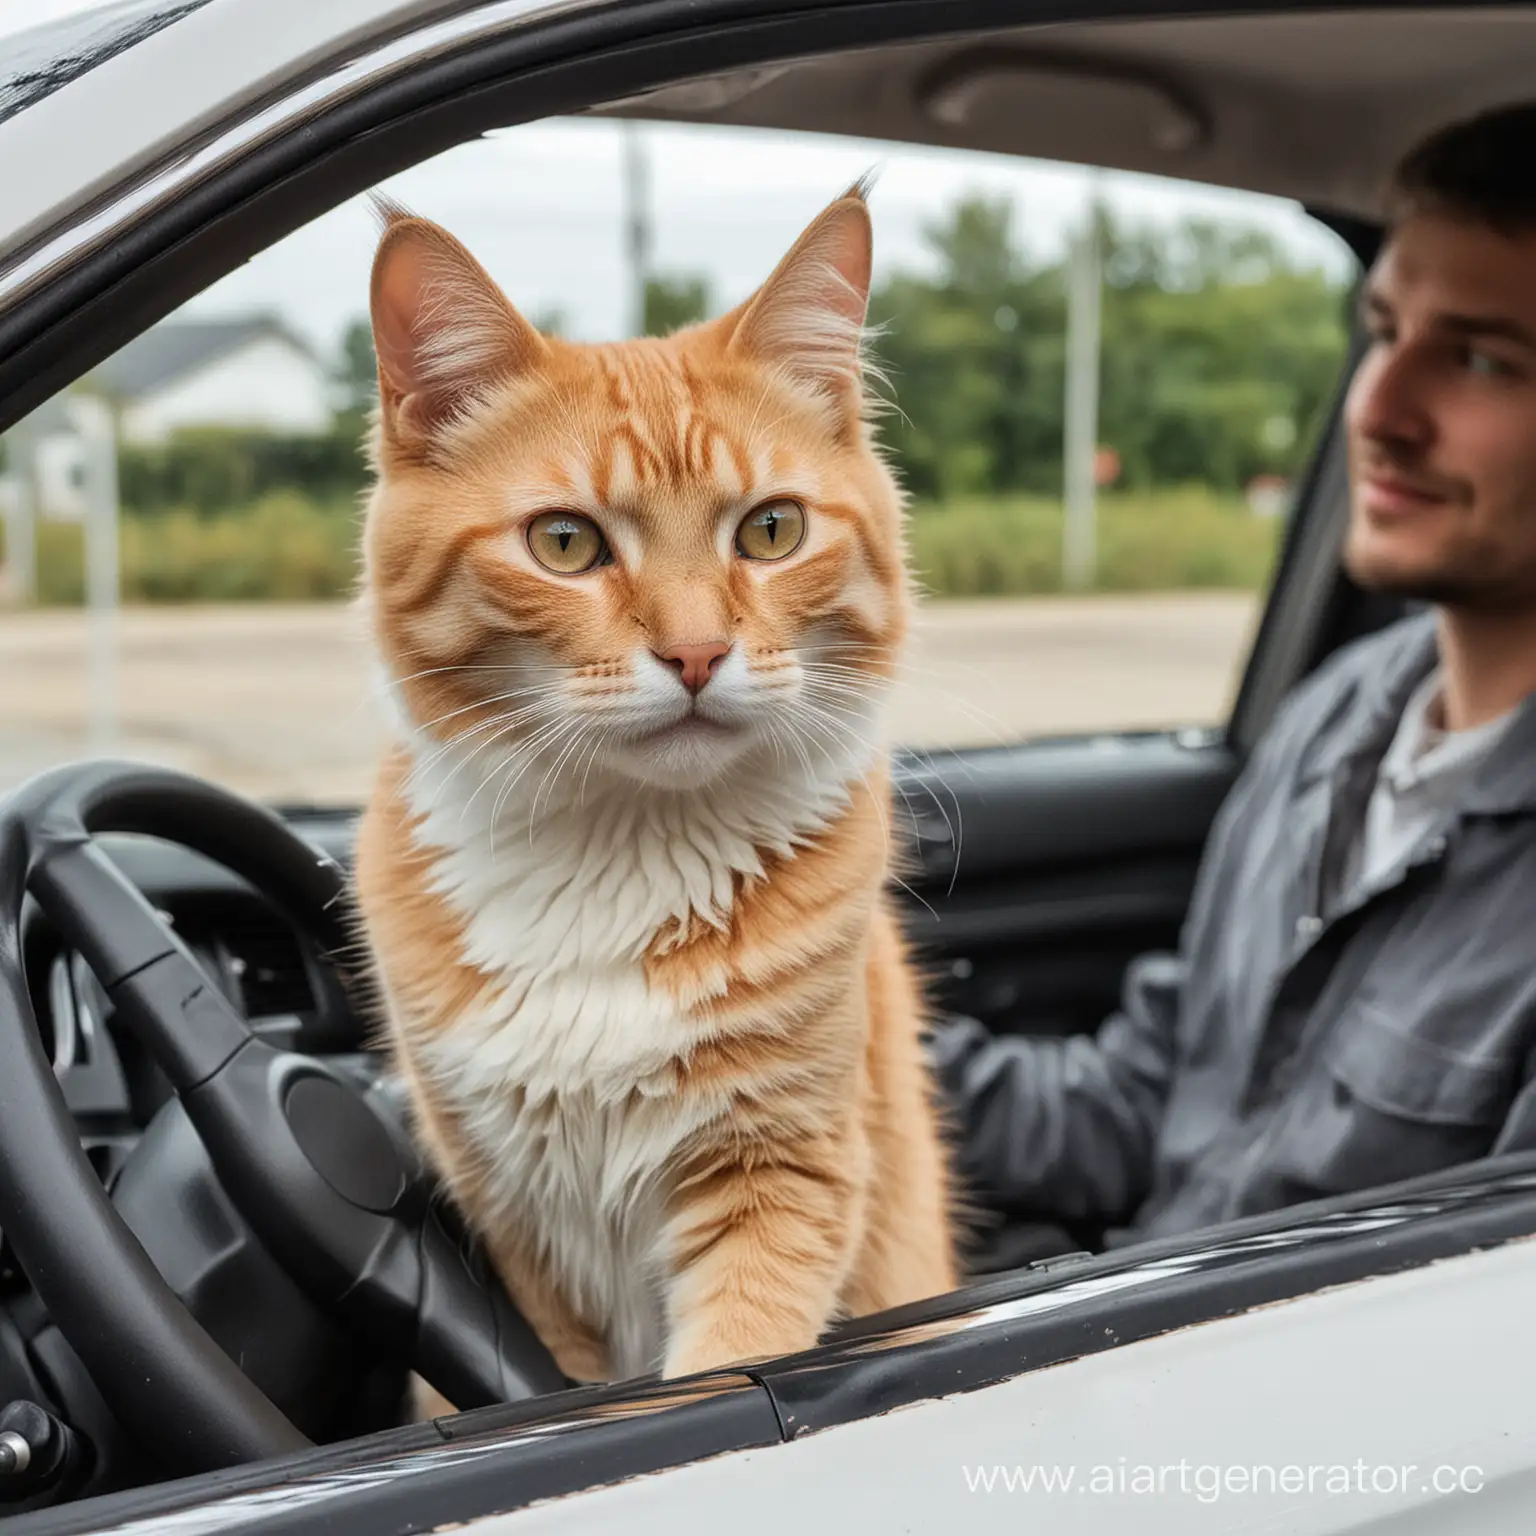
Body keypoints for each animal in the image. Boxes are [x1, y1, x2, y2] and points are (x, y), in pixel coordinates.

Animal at [356, 176, 958, 1382]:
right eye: (565, 544)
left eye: (770, 530)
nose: (694, 654)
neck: (622, 850)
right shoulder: (519, 1240)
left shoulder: (784, 1173)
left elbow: (728, 1358)